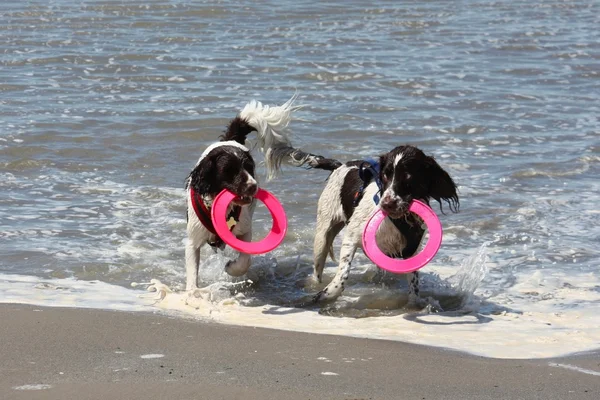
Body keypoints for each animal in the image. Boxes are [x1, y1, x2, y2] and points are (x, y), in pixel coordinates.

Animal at [185, 97, 340, 290]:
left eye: (249, 167)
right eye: (229, 171)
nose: (253, 187)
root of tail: (230, 140)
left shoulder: (245, 230)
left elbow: (244, 260)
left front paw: (231, 268)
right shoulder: (193, 241)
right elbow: (192, 272)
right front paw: (193, 292)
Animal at [310, 145, 460, 304]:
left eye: (408, 176)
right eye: (385, 175)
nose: (386, 204)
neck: (399, 219)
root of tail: (340, 165)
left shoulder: (412, 250)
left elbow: (414, 284)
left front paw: (415, 302)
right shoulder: (351, 238)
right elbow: (343, 273)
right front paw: (328, 293)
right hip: (322, 238)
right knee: (317, 270)